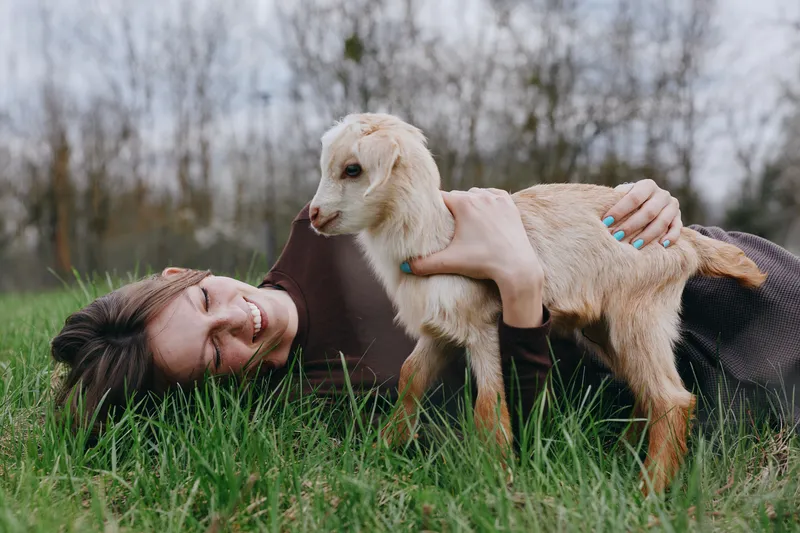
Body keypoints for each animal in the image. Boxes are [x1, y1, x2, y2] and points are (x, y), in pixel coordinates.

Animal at [307, 112, 767, 495]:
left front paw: (496, 478)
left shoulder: (482, 327)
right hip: (608, 329)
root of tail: (685, 239)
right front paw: (380, 450)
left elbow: (489, 404)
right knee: (647, 393)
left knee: (672, 399)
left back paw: (647, 492)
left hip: (640, 316)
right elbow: (410, 378)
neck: (436, 234)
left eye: (353, 169)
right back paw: (623, 458)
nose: (313, 214)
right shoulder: (440, 330)